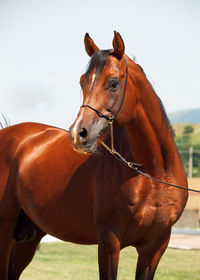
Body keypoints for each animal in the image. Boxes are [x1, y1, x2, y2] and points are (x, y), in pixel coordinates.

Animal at [0, 31, 188, 278]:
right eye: (82, 81)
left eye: (113, 83)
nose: (78, 134)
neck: (154, 174)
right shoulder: (109, 240)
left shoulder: (155, 247)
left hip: (27, 238)